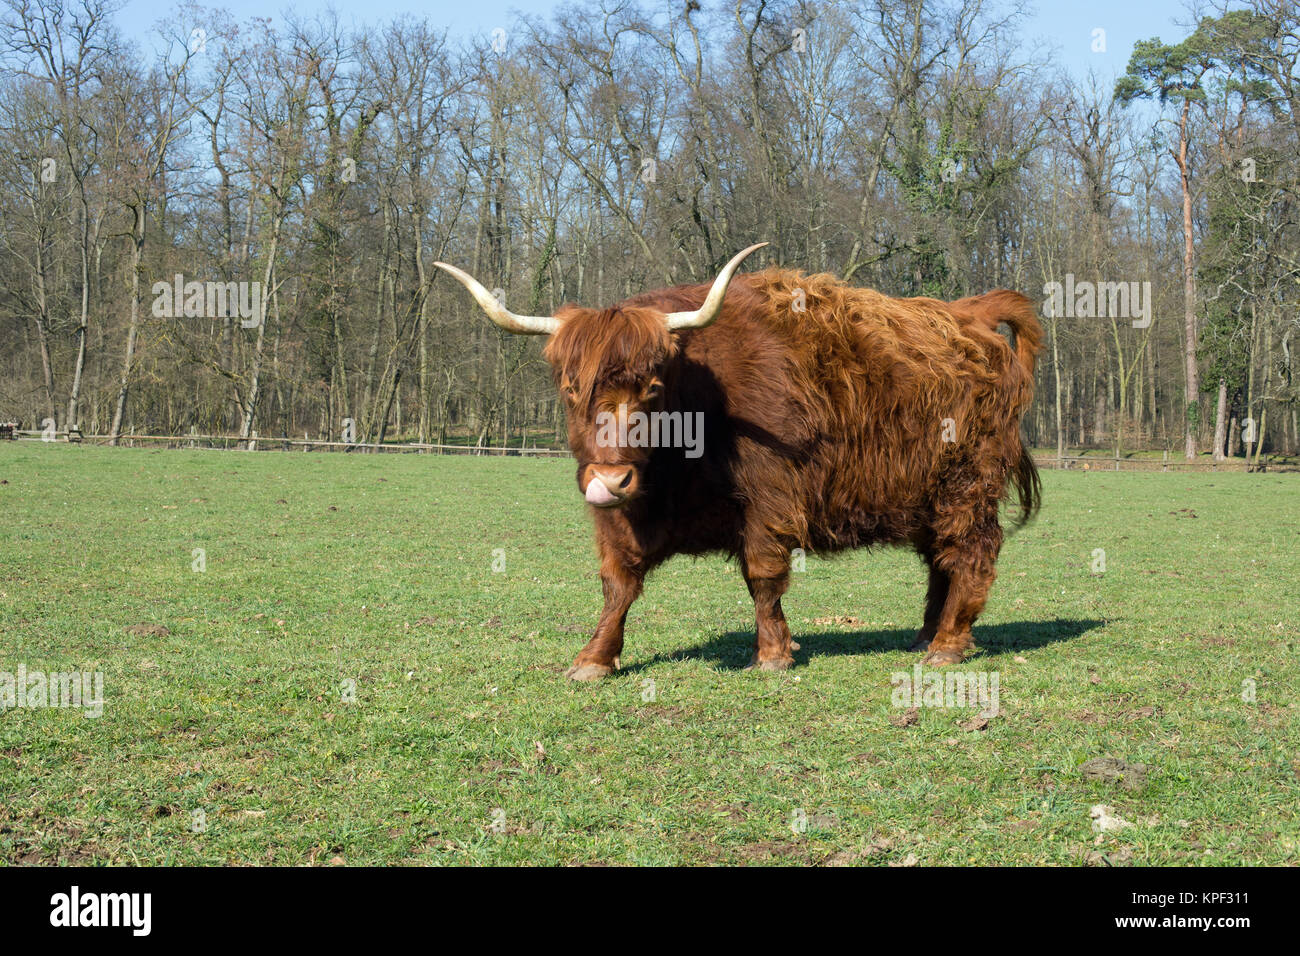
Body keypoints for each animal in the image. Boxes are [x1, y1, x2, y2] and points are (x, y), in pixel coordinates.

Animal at [435, 243, 1042, 680]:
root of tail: (969, 313)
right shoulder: (620, 517)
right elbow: (617, 584)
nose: (611, 479)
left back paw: (947, 645)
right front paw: (594, 658)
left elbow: (763, 576)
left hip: (967, 484)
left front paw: (771, 654)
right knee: (940, 558)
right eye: (569, 389)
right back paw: (923, 635)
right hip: (924, 494)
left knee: (971, 554)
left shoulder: (770, 498)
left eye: (652, 390)